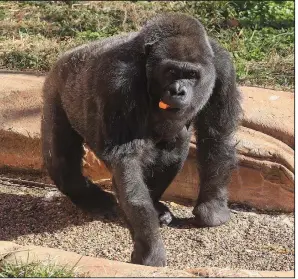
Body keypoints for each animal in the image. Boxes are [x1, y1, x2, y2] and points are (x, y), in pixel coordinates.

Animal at [41, 13, 242, 266]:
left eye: (192, 75)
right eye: (171, 72)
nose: (178, 91)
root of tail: (68, 53)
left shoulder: (223, 68)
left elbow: (217, 136)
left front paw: (212, 208)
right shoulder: (118, 80)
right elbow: (127, 161)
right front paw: (149, 247)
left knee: (176, 145)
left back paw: (156, 206)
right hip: (56, 85)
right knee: (61, 161)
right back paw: (91, 200)